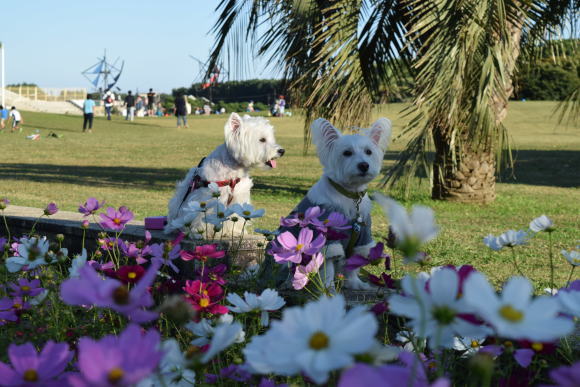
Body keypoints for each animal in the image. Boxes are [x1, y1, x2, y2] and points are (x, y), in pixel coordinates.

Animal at [278, 116, 392, 290]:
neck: (350, 195)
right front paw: (328, 289)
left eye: (368, 152)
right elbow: (328, 268)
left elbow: (353, 265)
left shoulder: (362, 237)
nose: (364, 165)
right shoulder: (327, 238)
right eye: (347, 153)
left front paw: (356, 284)